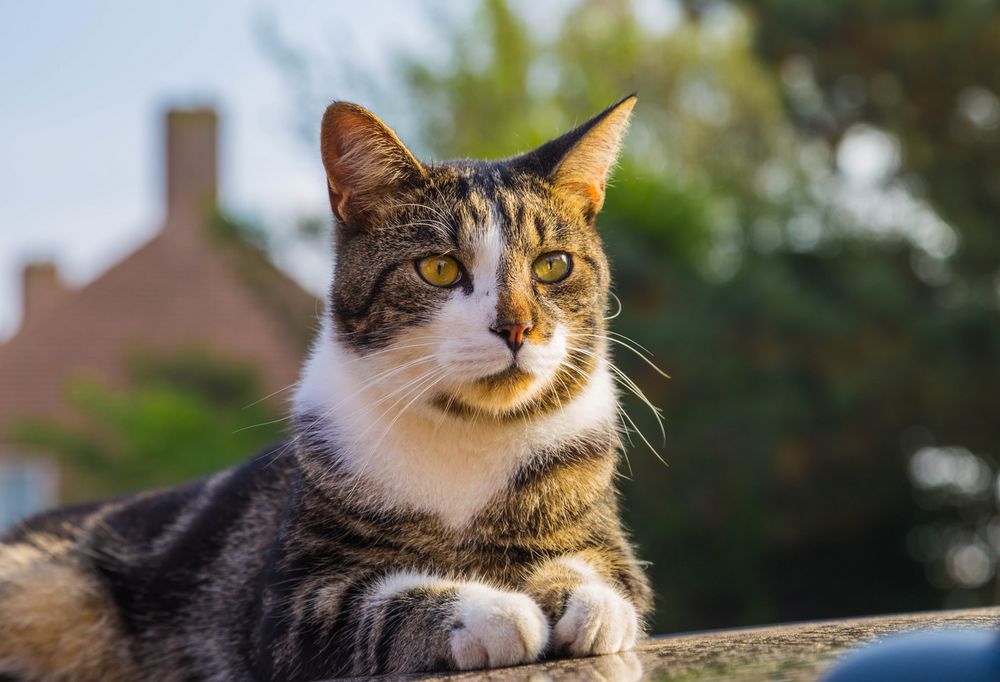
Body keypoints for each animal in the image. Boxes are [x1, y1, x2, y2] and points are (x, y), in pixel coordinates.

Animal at [0, 95, 652, 680]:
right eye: (439, 268)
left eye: (553, 266)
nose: (517, 326)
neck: (471, 433)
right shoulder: (292, 605)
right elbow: (383, 605)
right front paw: (496, 610)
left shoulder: (609, 547)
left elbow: (608, 579)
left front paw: (591, 606)